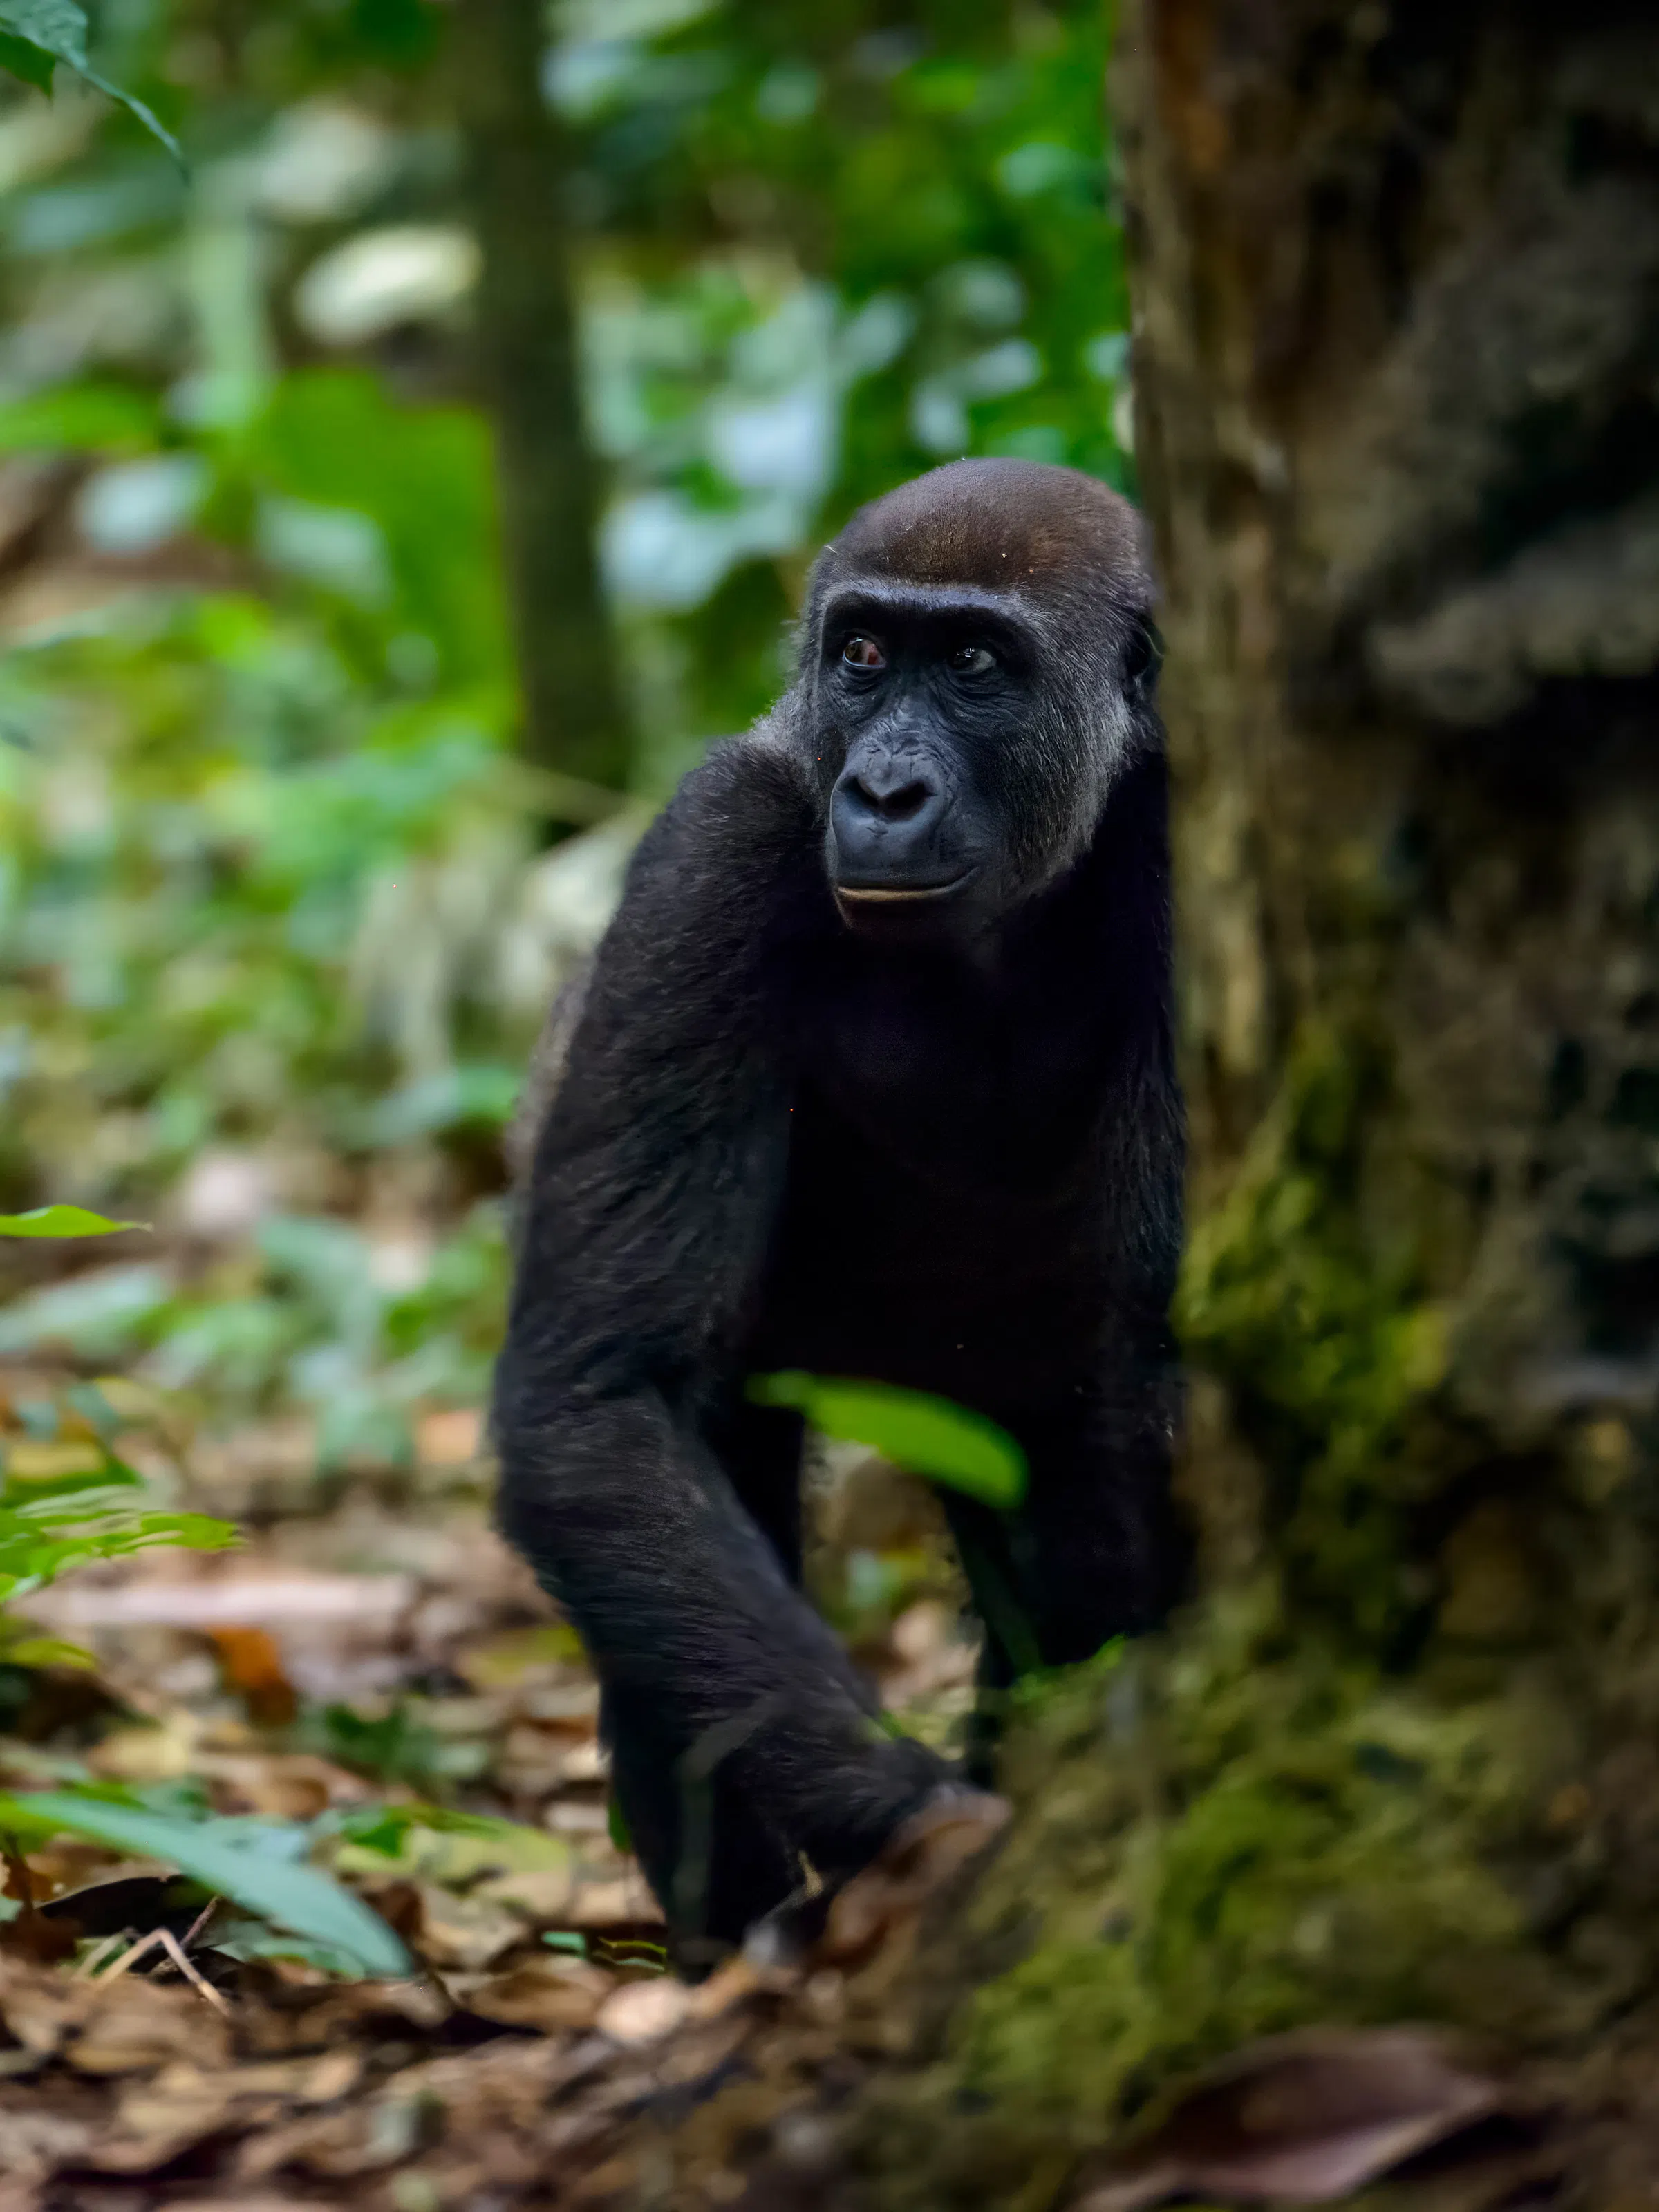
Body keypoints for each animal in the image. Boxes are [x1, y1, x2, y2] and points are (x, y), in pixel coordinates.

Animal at [495, 458, 1183, 1958]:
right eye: (863, 657)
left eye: (976, 666)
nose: (881, 786)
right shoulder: (717, 842)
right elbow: (601, 1403)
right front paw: (923, 1827)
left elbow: (1168, 1370)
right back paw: (736, 1945)